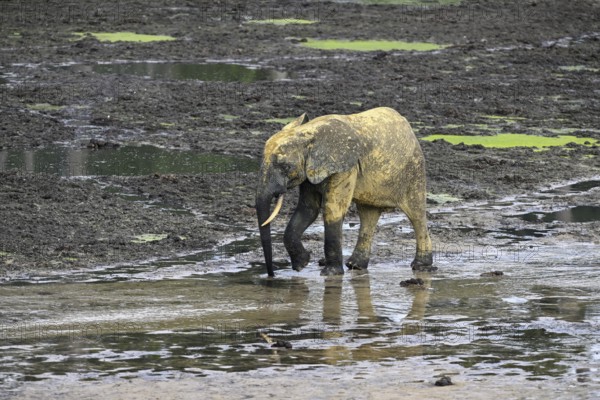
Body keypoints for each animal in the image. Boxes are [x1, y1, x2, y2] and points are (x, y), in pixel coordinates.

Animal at [255, 108, 434, 280]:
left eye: (284, 166)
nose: (271, 275)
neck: (309, 133)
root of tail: (408, 127)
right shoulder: (309, 171)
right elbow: (308, 209)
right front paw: (302, 264)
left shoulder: (345, 167)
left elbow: (332, 209)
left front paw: (330, 274)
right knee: (368, 215)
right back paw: (355, 266)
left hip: (414, 171)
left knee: (416, 214)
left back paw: (420, 266)